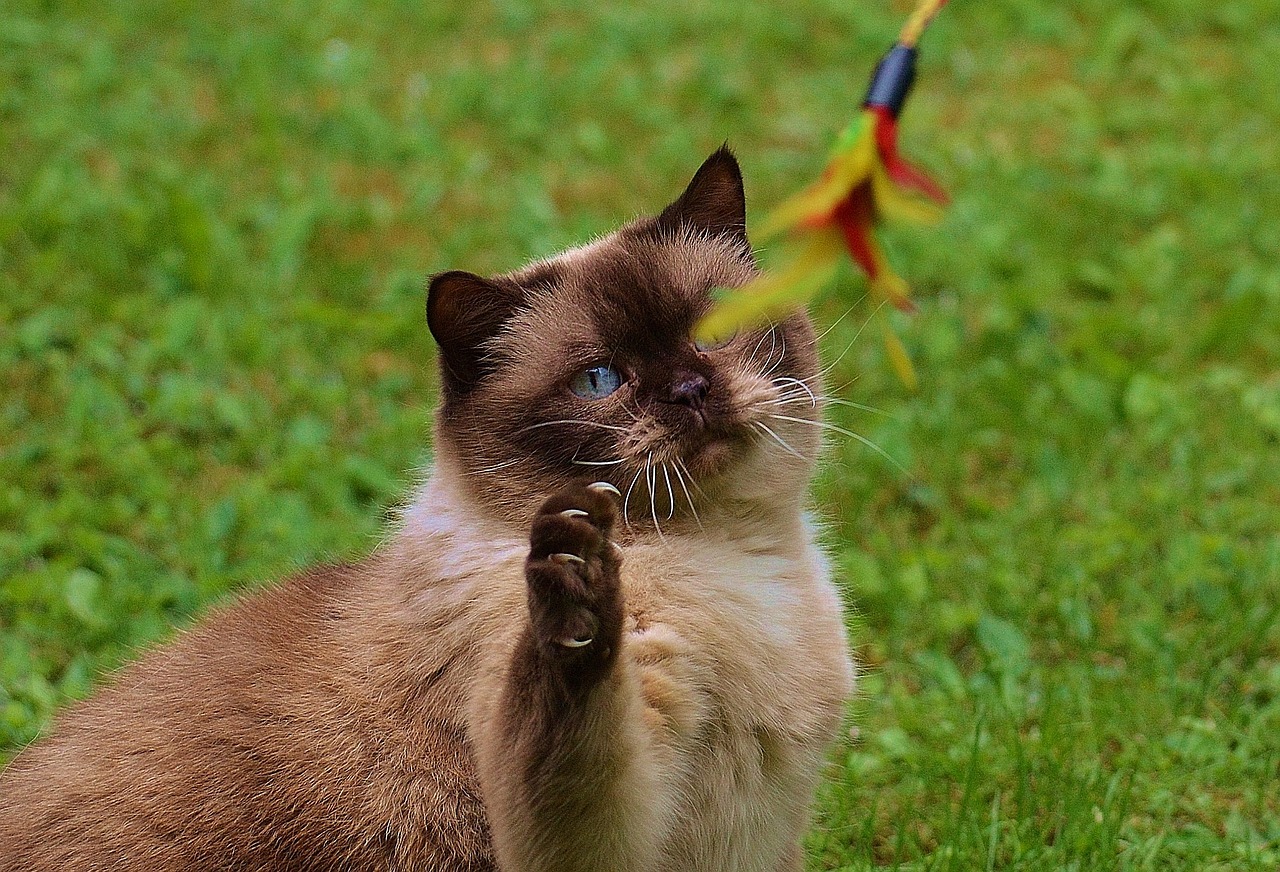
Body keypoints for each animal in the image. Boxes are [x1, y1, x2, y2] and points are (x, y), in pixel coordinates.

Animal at [5, 145, 860, 865]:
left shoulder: (764, 837)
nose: (690, 390)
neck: (730, 557)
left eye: (713, 331)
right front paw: (579, 589)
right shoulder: (594, 830)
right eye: (600, 380)